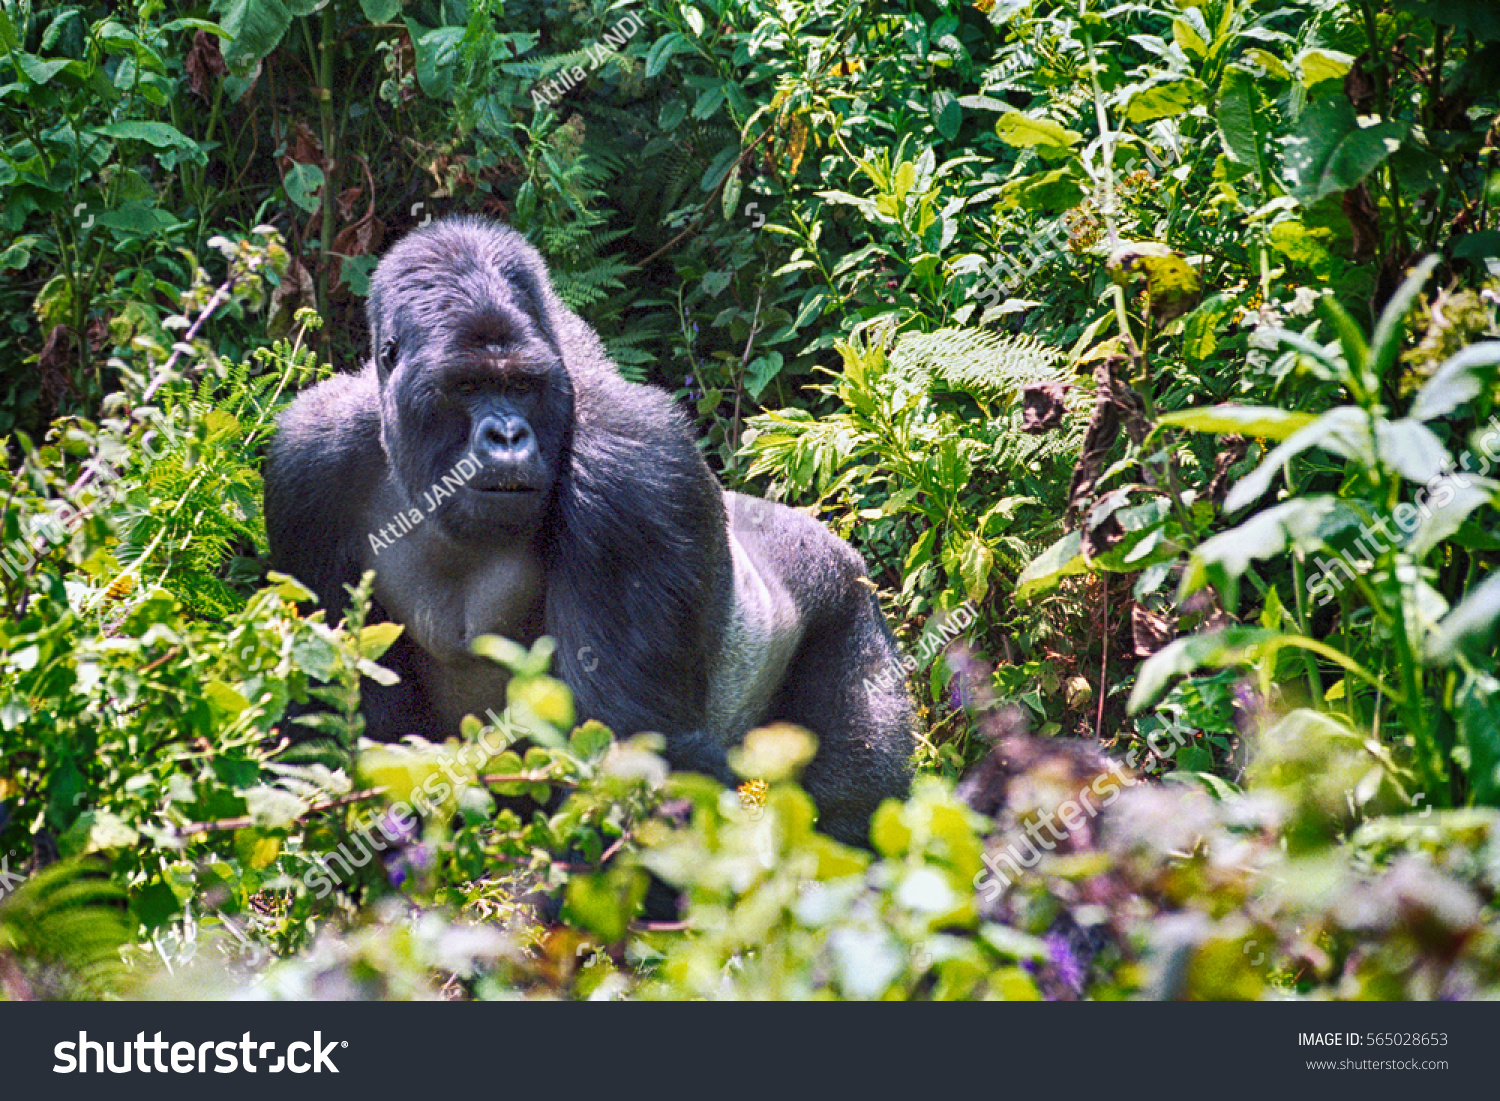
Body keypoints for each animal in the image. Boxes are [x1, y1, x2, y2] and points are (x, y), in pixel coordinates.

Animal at [262, 216, 906, 846]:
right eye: (466, 386)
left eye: (521, 387)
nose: (507, 437)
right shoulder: (306, 462)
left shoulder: (632, 468)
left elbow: (630, 753)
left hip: (847, 601)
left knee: (855, 809)